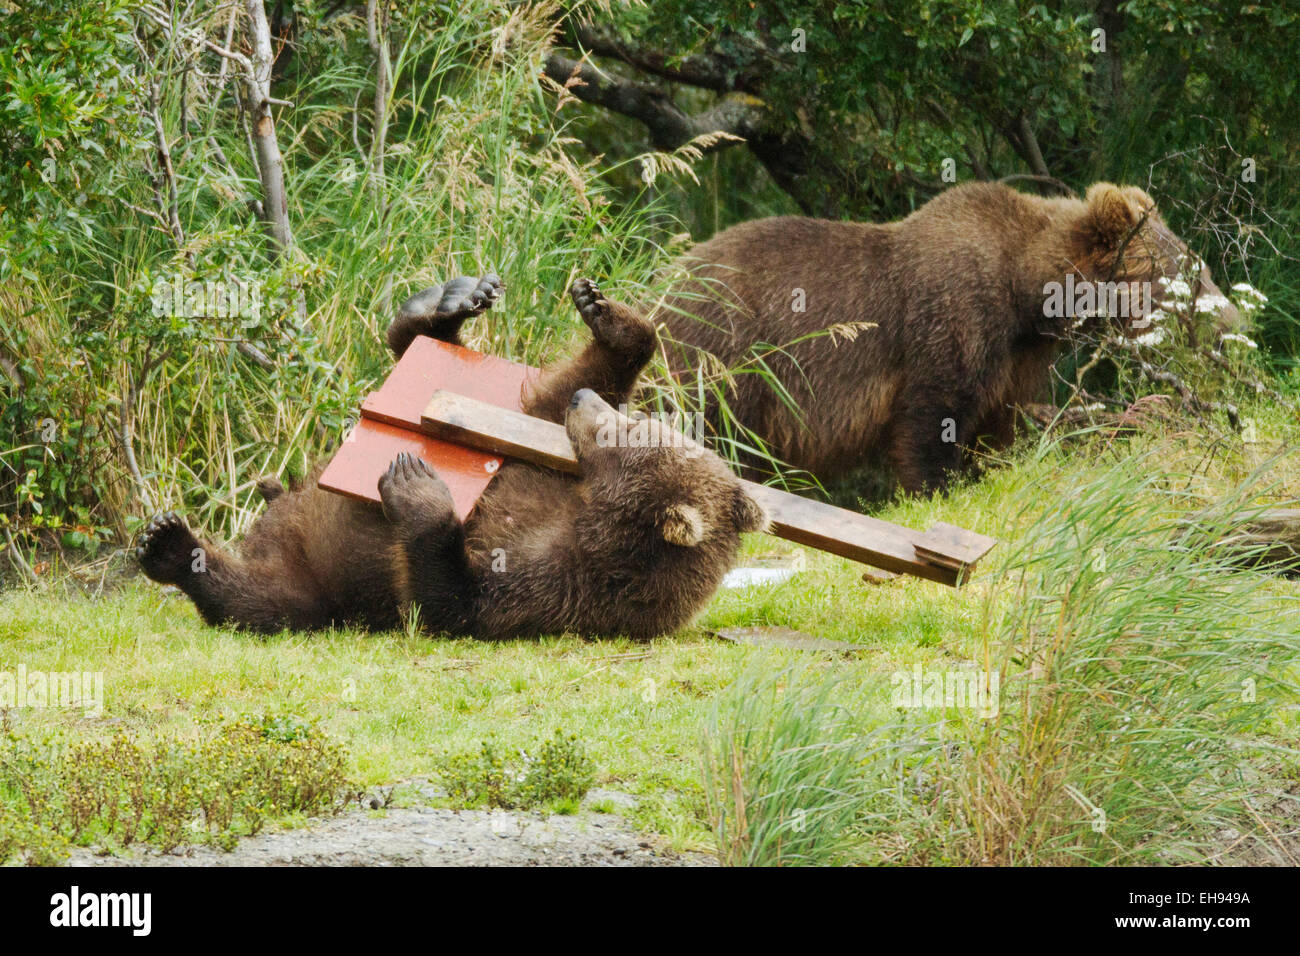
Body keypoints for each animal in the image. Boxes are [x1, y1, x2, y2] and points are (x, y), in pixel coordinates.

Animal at [139, 274, 769, 634]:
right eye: (641, 421)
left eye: (628, 432)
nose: (589, 404)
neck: (589, 515)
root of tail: (274, 519)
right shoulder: (538, 464)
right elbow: (549, 395)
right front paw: (603, 312)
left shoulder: (557, 588)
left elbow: (447, 599)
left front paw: (416, 484)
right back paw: (443, 305)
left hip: (318, 586)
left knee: (260, 601)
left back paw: (170, 547)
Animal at [655, 180, 1242, 494]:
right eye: (1188, 272)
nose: (1233, 321)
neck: (1026, 291)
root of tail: (662, 287)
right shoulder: (956, 314)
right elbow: (934, 412)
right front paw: (939, 483)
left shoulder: (1020, 355)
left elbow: (1003, 416)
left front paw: (991, 463)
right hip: (730, 350)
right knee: (715, 426)